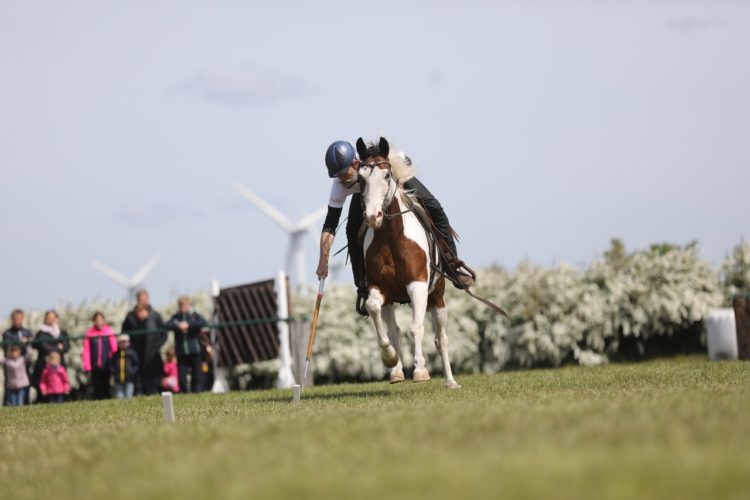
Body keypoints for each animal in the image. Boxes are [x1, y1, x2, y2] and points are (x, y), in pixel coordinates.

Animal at [356, 138, 462, 390]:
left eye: (386, 175)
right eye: (361, 178)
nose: (373, 217)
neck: (392, 237)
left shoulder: (418, 286)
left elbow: (416, 328)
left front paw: (421, 370)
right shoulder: (379, 289)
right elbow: (375, 310)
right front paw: (389, 358)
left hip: (437, 297)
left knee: (440, 339)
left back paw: (450, 381)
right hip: (392, 301)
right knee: (394, 330)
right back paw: (396, 371)